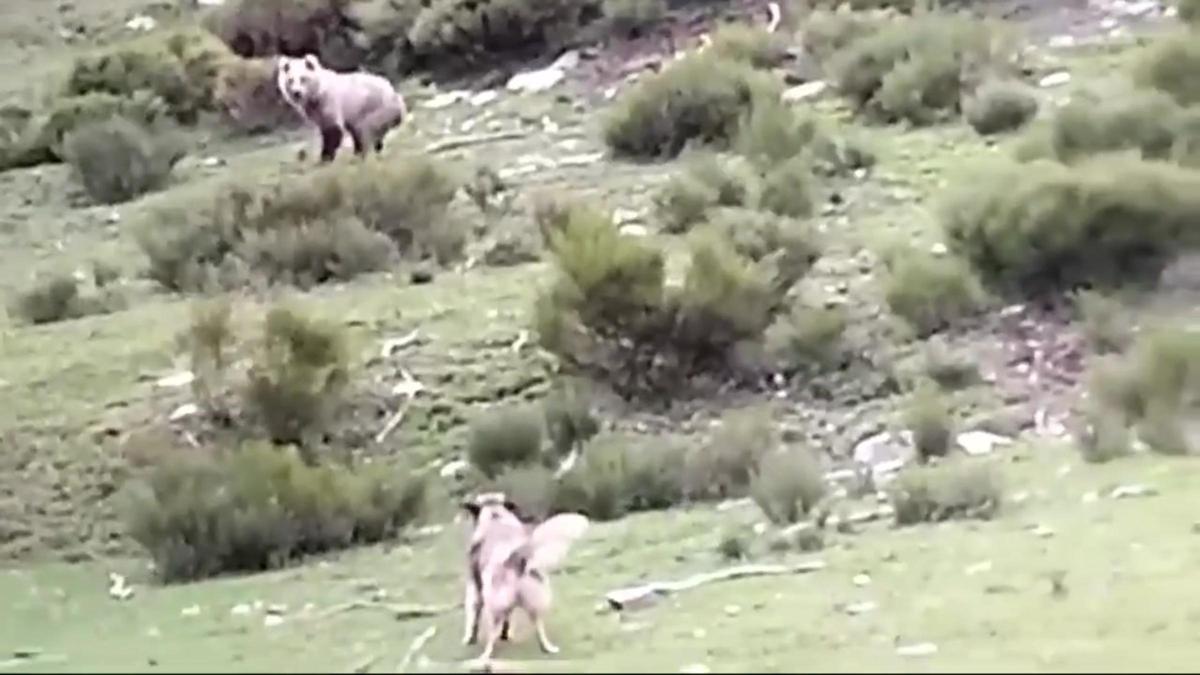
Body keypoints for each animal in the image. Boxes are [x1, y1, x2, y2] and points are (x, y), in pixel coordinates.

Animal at [274, 53, 408, 162]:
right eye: (290, 80)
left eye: (303, 78)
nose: (297, 93)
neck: (315, 94)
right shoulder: (315, 110)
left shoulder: (330, 101)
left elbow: (333, 130)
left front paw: (325, 158)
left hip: (377, 107)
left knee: (366, 130)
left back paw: (363, 154)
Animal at [460, 492, 588, 658]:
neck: (495, 516)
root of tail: (517, 558)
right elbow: (508, 618)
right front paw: (505, 634)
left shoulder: (475, 586)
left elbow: (474, 614)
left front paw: (470, 638)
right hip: (535, 601)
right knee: (539, 626)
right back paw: (547, 647)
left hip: (494, 604)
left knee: (492, 633)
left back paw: (485, 655)